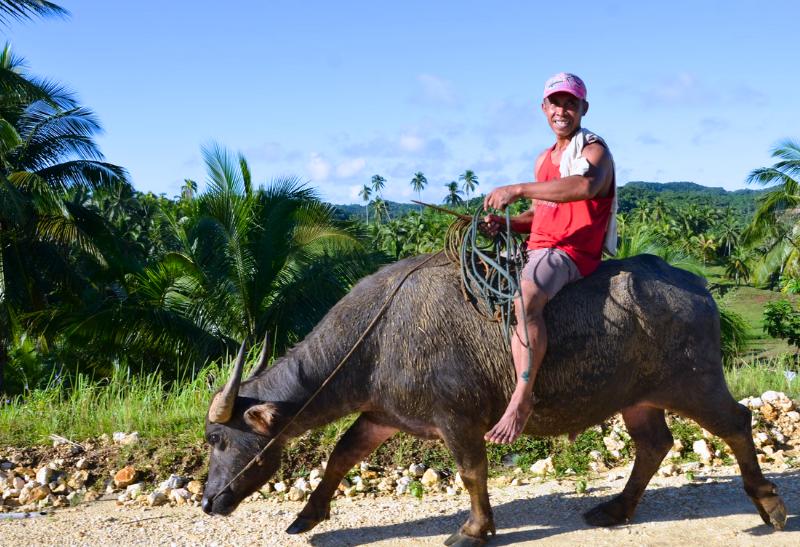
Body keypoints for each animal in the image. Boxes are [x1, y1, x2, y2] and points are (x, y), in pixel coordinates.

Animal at [202, 253, 788, 544]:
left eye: (217, 439)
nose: (208, 501)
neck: (378, 336)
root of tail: (694, 284)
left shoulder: (457, 418)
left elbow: (471, 472)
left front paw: (474, 531)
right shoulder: (382, 415)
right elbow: (341, 455)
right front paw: (307, 515)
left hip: (695, 383)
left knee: (737, 422)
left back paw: (770, 506)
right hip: (638, 397)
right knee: (654, 444)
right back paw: (616, 508)